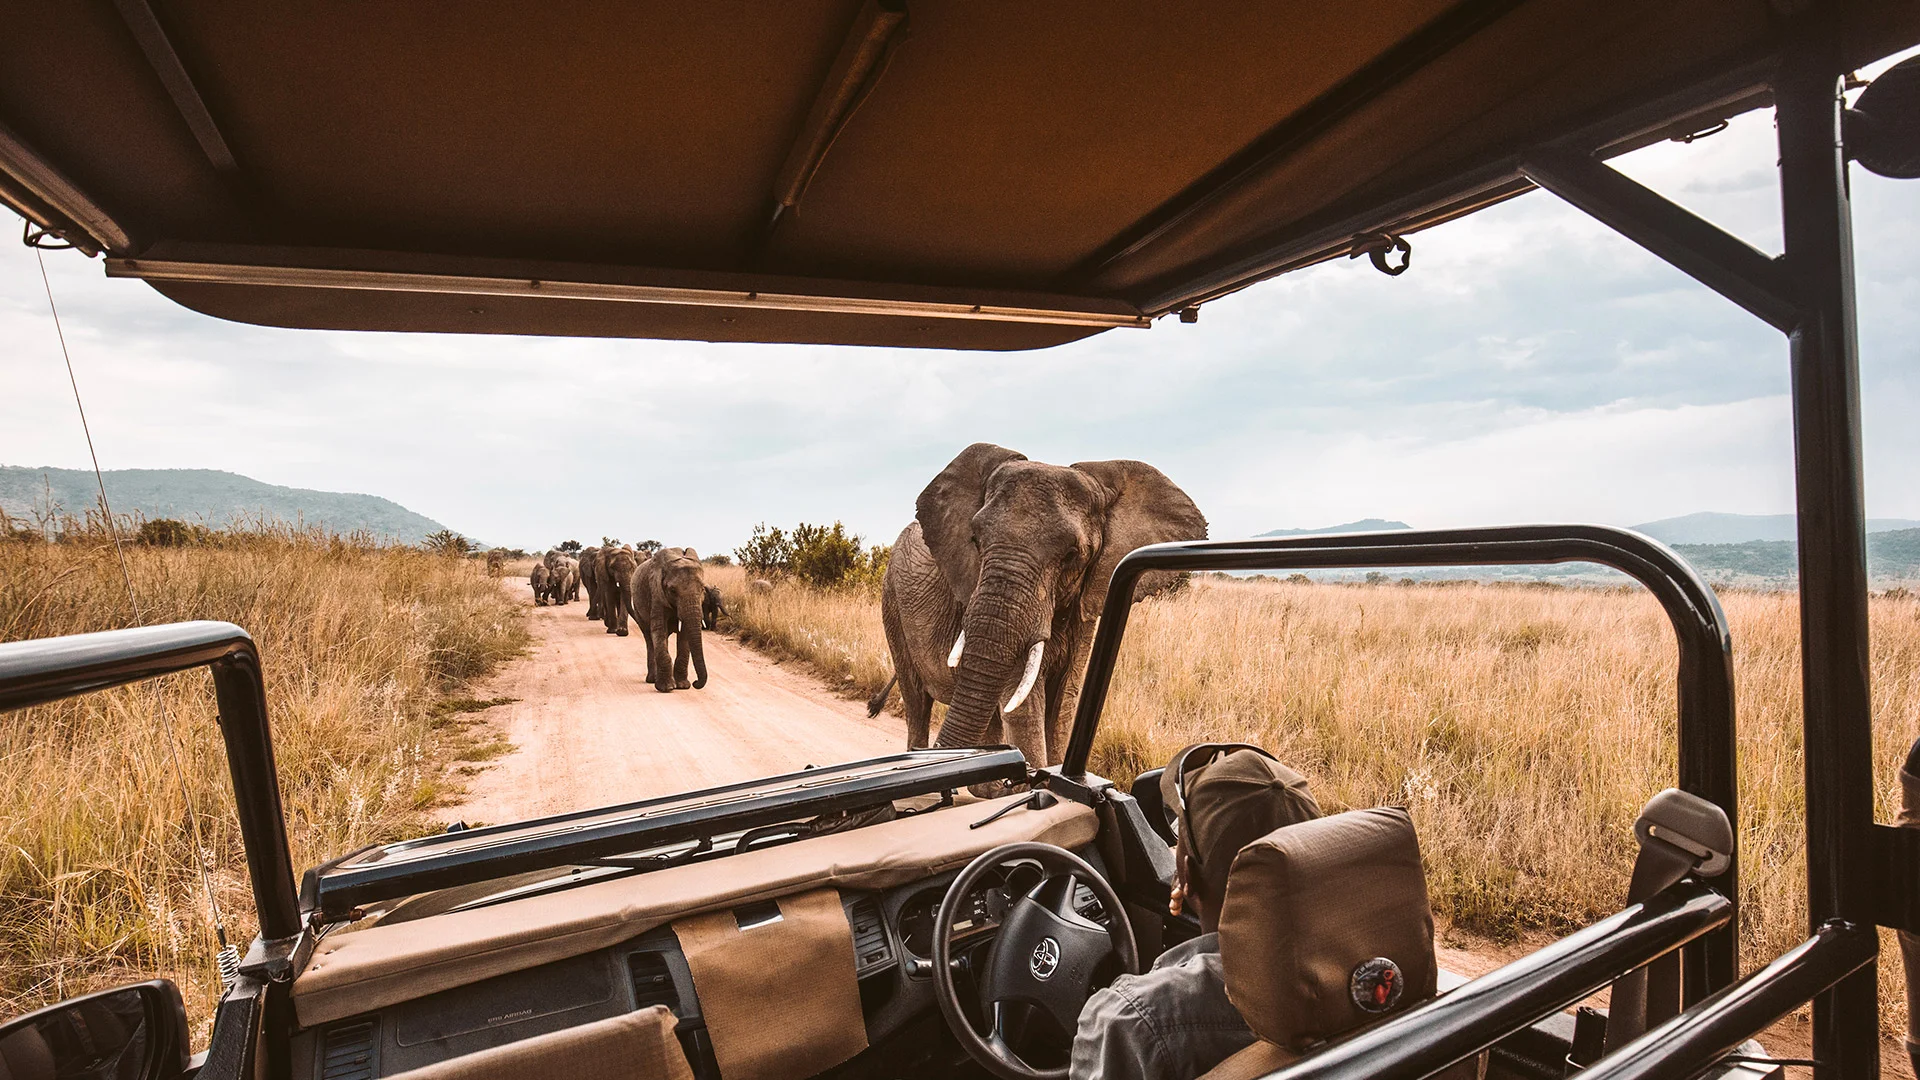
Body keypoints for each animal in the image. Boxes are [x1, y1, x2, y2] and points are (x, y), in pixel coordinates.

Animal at [633, 545, 710, 687]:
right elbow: (659, 629)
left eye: (702, 589)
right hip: (637, 608)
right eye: (673, 591)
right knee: (649, 638)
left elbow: (684, 634)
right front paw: (666, 687)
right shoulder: (656, 594)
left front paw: (683, 686)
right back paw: (652, 680)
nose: (696, 683)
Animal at [879, 440, 1205, 764]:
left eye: (1072, 555)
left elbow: (1063, 705)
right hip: (892, 602)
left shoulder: (1085, 607)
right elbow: (1024, 710)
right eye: (975, 540)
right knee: (917, 702)